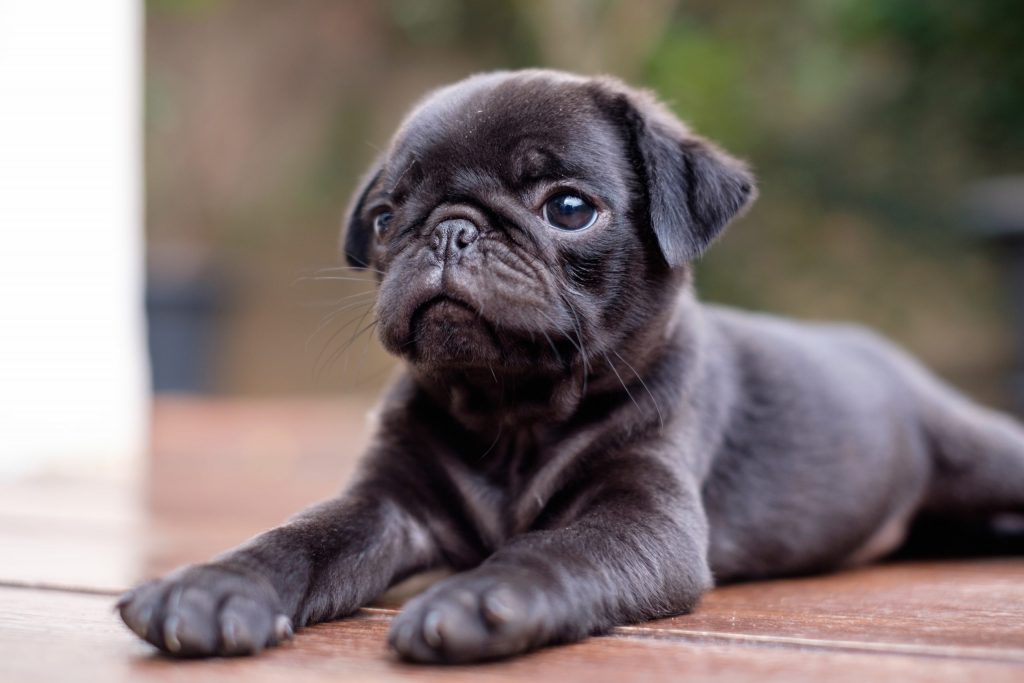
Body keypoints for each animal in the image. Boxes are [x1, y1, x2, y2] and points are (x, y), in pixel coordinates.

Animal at [117, 69, 1024, 663]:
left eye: (568, 208)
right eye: (384, 217)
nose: (451, 228)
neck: (513, 415)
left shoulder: (642, 519)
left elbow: (552, 550)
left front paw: (481, 598)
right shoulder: (387, 503)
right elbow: (301, 535)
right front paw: (216, 584)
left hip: (979, 451)